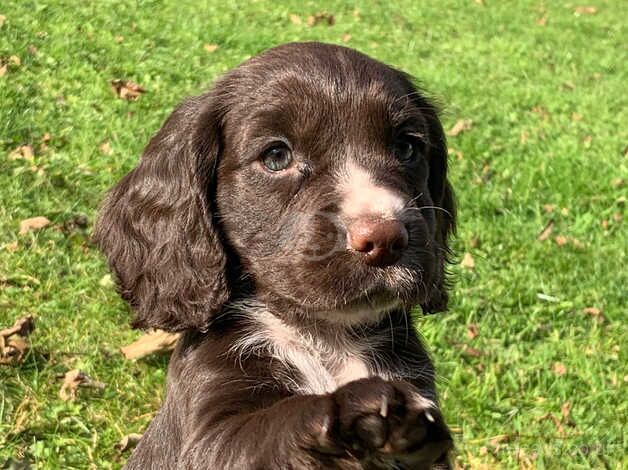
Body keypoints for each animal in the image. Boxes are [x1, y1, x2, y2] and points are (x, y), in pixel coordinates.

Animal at [94, 41, 456, 470]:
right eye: (276, 156)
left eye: (406, 148)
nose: (385, 238)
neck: (327, 337)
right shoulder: (207, 428)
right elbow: (267, 428)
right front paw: (353, 411)